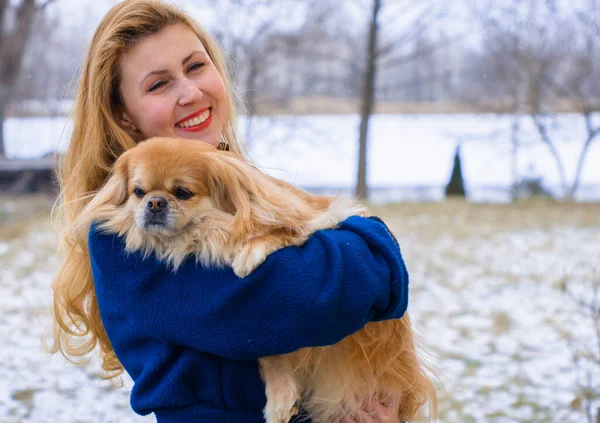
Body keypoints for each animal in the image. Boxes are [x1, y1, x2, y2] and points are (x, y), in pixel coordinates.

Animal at [77, 137, 438, 422]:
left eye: (182, 192)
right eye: (138, 192)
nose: (154, 202)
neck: (207, 231)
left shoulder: (318, 218)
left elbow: (281, 231)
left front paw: (249, 252)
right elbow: (269, 353)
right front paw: (281, 399)